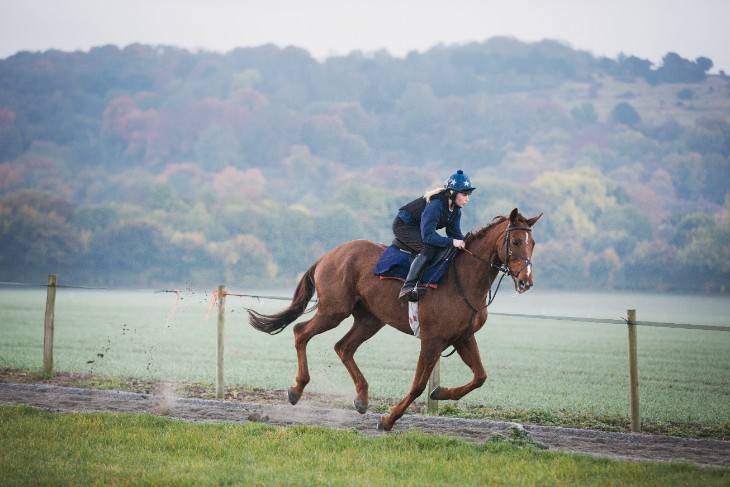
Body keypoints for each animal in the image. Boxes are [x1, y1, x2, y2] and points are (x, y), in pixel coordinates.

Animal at [250, 209, 540, 430]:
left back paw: (361, 398)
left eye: (533, 243)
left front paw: (441, 392)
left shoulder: (463, 337)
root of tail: (328, 255)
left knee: (343, 347)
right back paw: (297, 389)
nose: (526, 282)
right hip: (334, 310)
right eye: (515, 242)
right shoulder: (432, 339)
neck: (464, 280)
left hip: (370, 319)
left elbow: (480, 376)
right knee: (301, 332)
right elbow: (419, 384)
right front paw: (388, 420)